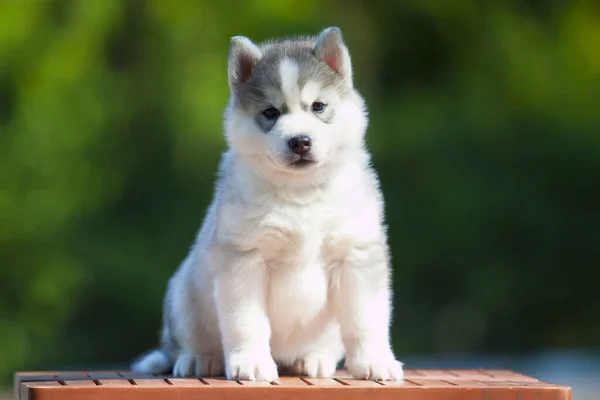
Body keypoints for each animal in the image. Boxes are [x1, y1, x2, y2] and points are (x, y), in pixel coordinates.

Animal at [131, 26, 404, 382]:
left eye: (318, 106)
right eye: (270, 112)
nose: (300, 141)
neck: (301, 193)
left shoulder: (356, 254)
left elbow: (365, 319)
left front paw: (374, 361)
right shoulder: (244, 258)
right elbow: (246, 322)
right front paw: (251, 361)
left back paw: (312, 358)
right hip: (183, 296)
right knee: (185, 342)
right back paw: (198, 358)